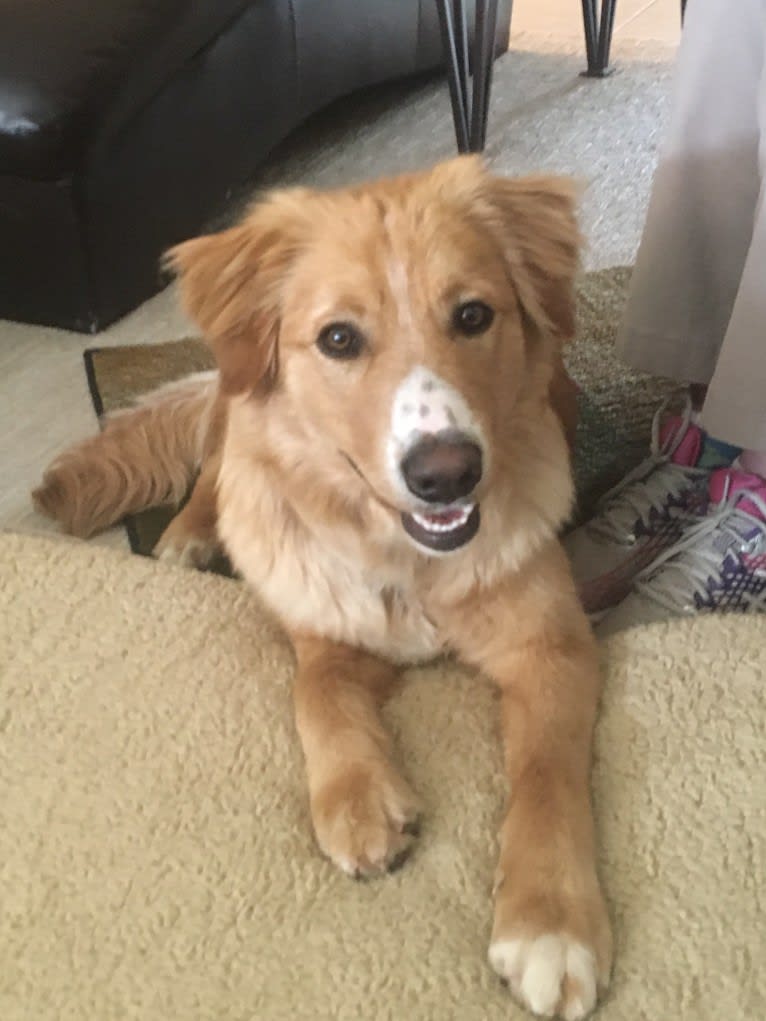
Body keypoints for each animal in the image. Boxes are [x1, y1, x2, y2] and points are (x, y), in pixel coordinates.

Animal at [34, 155, 612, 1016]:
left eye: (473, 315)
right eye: (338, 338)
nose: (447, 472)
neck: (409, 564)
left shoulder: (553, 647)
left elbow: (545, 772)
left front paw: (551, 924)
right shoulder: (324, 624)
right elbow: (318, 694)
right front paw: (357, 799)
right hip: (237, 413)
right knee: (221, 458)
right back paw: (191, 532)